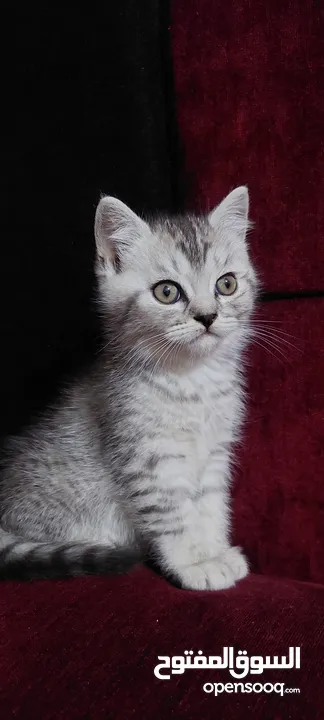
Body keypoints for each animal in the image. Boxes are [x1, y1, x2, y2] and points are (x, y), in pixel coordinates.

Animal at [0, 187, 258, 592]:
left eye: (226, 284)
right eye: (167, 292)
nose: (207, 316)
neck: (192, 380)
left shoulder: (216, 453)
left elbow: (211, 506)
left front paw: (214, 550)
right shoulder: (149, 458)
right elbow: (174, 515)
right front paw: (193, 563)